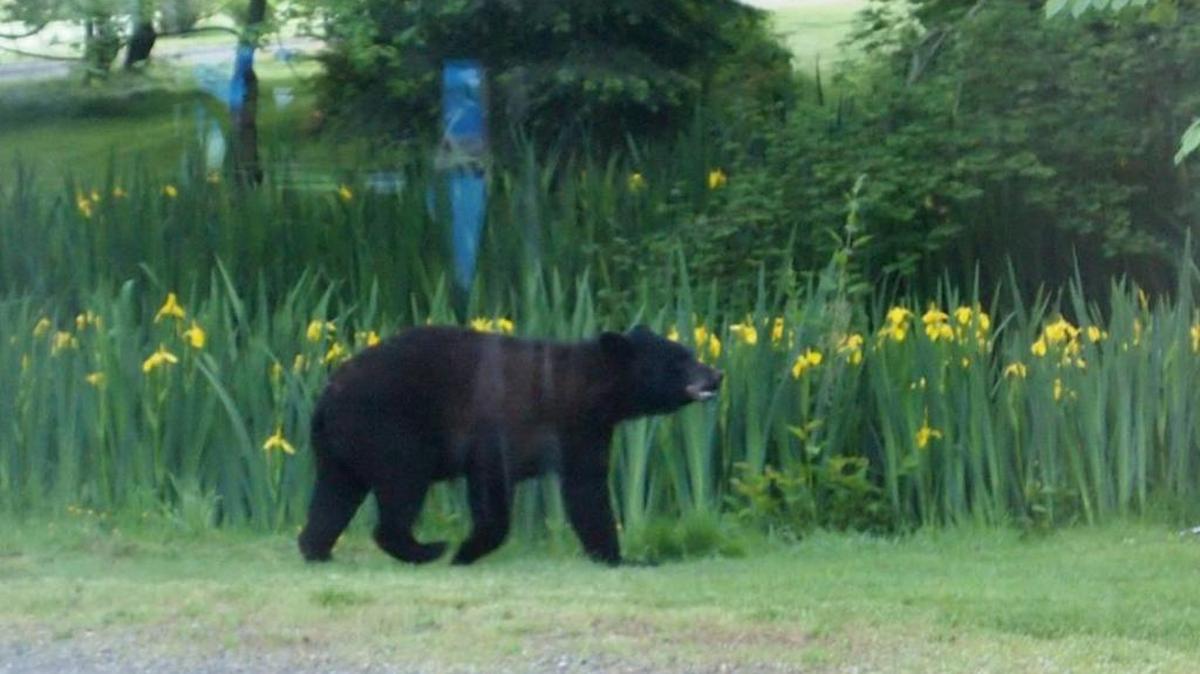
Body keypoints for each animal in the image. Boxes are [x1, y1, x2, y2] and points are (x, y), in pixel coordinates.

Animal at [297, 325, 722, 566]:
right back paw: (427, 549)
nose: (716, 375)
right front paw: (466, 550)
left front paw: (619, 557)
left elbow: (588, 494)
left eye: (690, 353)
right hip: (389, 428)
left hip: (341, 446)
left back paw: (316, 549)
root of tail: (326, 396)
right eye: (681, 360)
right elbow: (493, 488)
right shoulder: (508, 426)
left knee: (334, 494)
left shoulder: (584, 434)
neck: (583, 390)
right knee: (402, 482)